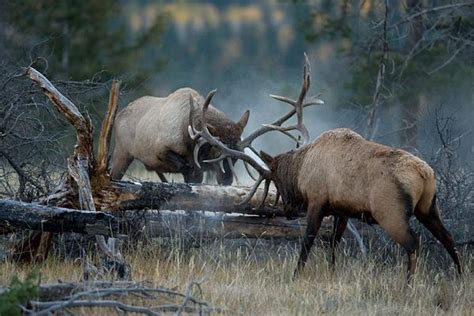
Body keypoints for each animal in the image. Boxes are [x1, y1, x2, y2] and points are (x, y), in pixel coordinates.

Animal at [110, 87, 252, 184]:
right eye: (216, 153)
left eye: (237, 157)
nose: (227, 180)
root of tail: (118, 116)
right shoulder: (160, 150)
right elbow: (186, 168)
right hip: (122, 153)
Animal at [190, 55, 462, 282]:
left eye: (275, 179)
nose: (288, 211)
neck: (301, 168)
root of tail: (425, 176)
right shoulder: (342, 209)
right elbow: (333, 243)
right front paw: (332, 272)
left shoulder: (318, 200)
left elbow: (307, 242)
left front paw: (295, 276)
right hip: (428, 207)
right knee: (449, 238)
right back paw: (459, 277)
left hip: (391, 212)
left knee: (414, 243)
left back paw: (408, 284)